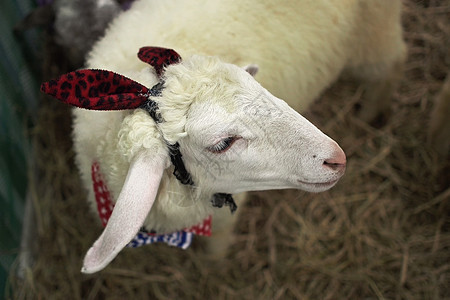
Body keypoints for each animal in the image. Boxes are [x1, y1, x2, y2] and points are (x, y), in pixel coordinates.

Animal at [43, 0, 408, 274]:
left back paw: (370, 112)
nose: (336, 159)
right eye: (222, 144)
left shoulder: (221, 218)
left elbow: (217, 247)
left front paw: (215, 270)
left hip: (374, 35)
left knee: (392, 64)